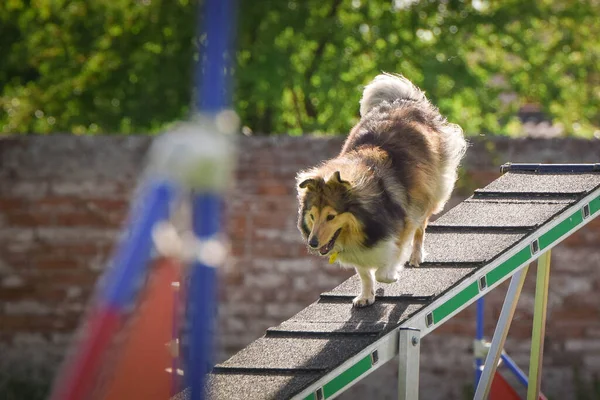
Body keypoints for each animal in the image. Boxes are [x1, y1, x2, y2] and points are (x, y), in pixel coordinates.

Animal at [296, 73, 468, 308]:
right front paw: (366, 296)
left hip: (430, 191)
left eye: (331, 216)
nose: (312, 243)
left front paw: (391, 275)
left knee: (421, 226)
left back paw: (416, 257)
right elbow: (364, 273)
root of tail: (403, 100)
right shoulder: (358, 251)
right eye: (312, 216)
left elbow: (385, 265)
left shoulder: (403, 223)